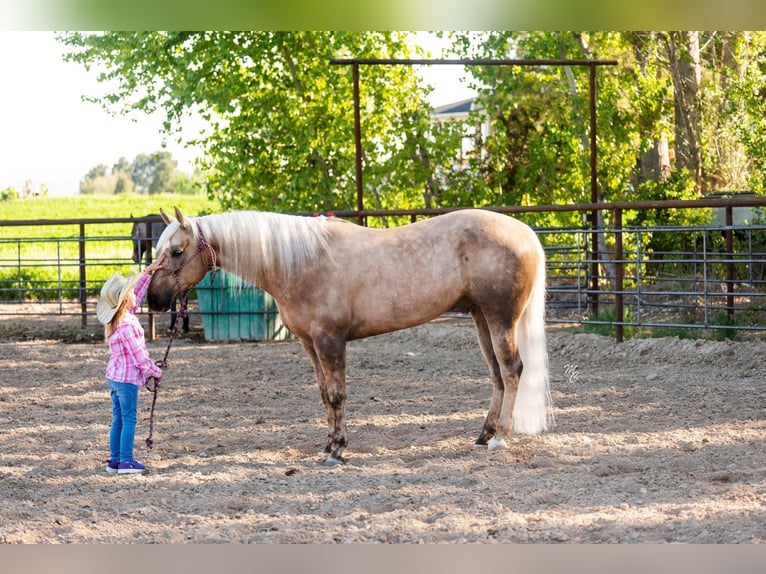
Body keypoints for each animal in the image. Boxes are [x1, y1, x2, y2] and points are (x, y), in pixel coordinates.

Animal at [147, 207, 552, 468]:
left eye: (177, 251)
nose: (154, 300)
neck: (301, 262)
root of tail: (525, 233)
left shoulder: (330, 340)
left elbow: (339, 395)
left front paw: (337, 451)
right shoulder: (309, 344)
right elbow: (326, 396)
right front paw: (328, 447)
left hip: (500, 318)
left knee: (512, 370)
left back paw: (500, 438)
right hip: (481, 317)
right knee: (497, 375)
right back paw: (483, 436)